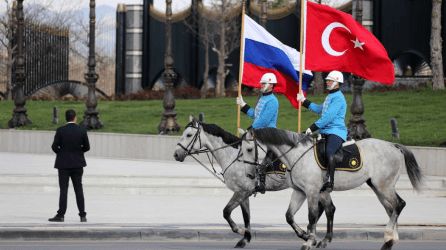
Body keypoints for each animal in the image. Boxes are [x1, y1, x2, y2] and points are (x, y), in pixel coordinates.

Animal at [172, 116, 336, 248]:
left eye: (188, 134)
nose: (176, 154)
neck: (234, 157)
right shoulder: (243, 192)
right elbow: (246, 216)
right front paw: (245, 237)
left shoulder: (243, 191)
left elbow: (226, 212)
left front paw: (240, 231)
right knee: (325, 208)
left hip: (312, 187)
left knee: (322, 209)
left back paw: (310, 235)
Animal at [240, 128, 426, 250]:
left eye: (249, 149)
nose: (250, 174)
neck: (297, 155)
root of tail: (393, 145)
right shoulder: (300, 191)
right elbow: (289, 215)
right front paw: (307, 235)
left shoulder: (312, 191)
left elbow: (312, 215)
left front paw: (309, 240)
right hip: (378, 187)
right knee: (391, 208)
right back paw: (390, 241)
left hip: (384, 185)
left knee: (399, 204)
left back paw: (388, 237)